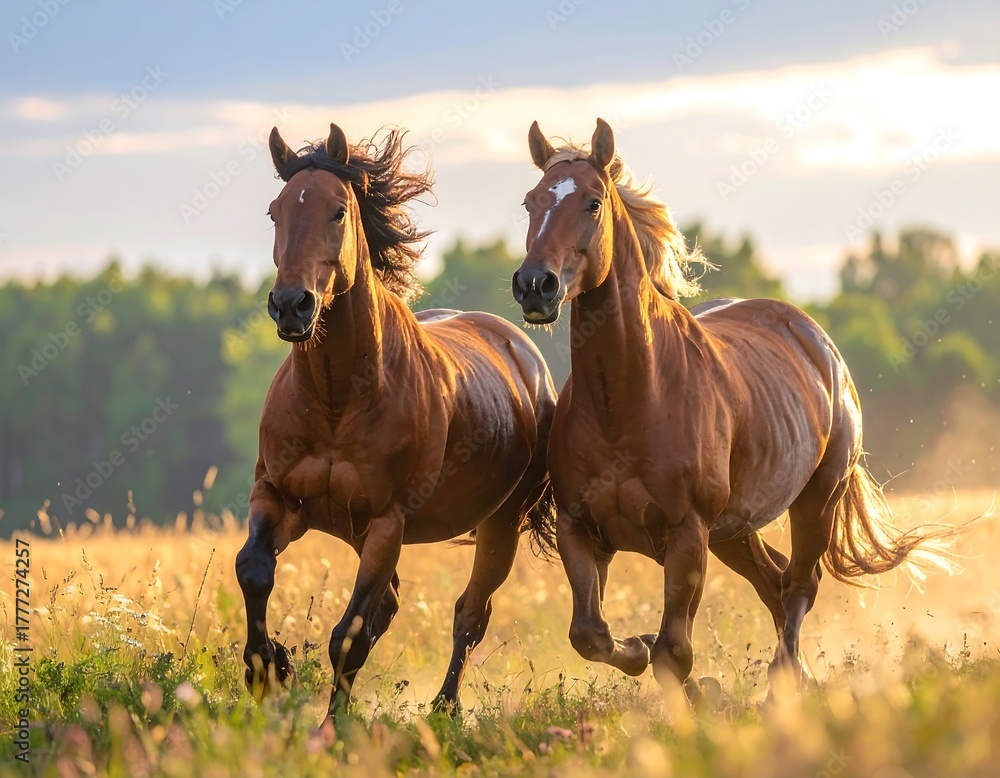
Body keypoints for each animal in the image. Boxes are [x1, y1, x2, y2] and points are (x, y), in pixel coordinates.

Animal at [235, 122, 558, 721]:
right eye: (275, 212)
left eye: (338, 211)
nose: (291, 305)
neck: (336, 400)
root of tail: (525, 356)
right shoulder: (278, 497)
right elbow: (254, 569)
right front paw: (268, 668)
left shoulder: (388, 522)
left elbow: (348, 634)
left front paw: (330, 727)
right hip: (356, 531)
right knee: (390, 605)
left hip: (500, 523)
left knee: (469, 614)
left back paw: (444, 709)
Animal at [511, 118, 966, 695]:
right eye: (530, 202)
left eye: (593, 202)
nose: (535, 286)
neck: (629, 401)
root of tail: (817, 341)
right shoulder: (581, 529)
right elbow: (591, 635)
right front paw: (641, 649)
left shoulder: (687, 536)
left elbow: (674, 652)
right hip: (736, 531)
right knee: (776, 584)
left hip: (814, 500)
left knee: (800, 584)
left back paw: (785, 681)